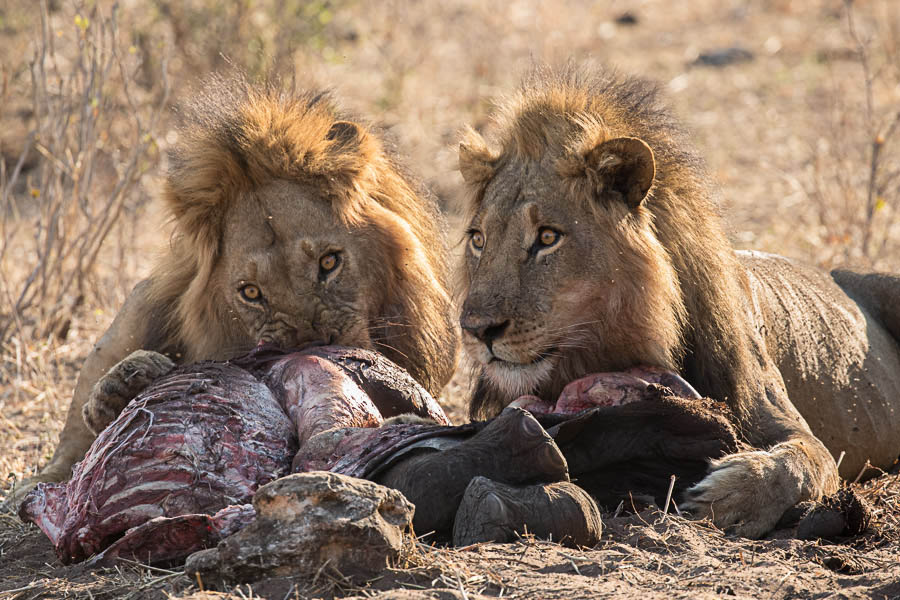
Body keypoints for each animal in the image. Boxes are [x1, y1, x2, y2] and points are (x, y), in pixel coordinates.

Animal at [455, 64, 900, 538]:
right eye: (479, 240)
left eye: (547, 237)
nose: (477, 330)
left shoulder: (794, 429)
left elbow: (801, 463)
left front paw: (729, 496)